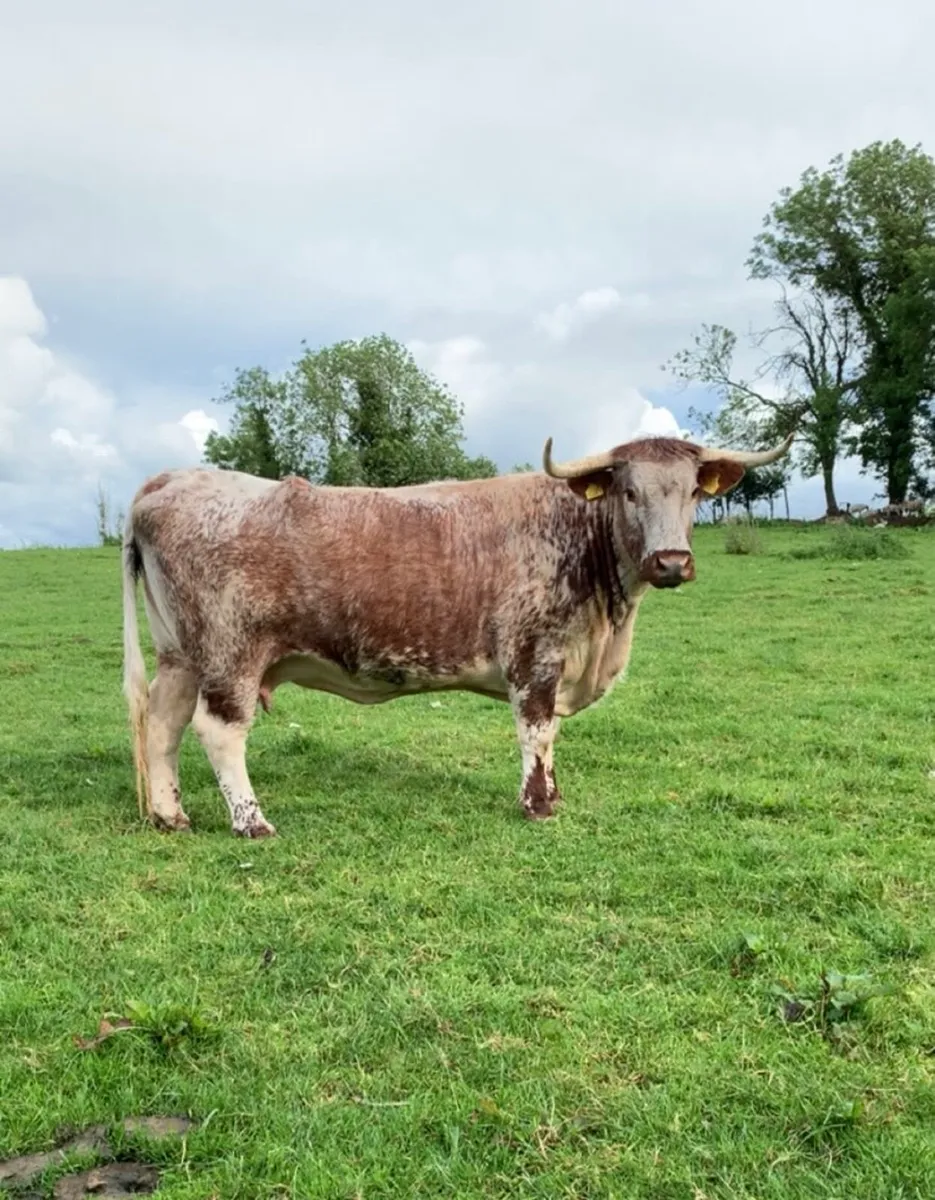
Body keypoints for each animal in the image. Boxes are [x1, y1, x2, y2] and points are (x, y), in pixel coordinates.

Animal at [121, 431, 793, 837]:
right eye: (629, 491)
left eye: (693, 493)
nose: (671, 562)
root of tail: (168, 481)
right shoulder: (534, 655)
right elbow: (537, 732)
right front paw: (538, 806)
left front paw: (552, 797)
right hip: (231, 654)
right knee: (218, 732)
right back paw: (251, 822)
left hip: (182, 653)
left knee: (162, 725)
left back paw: (170, 815)